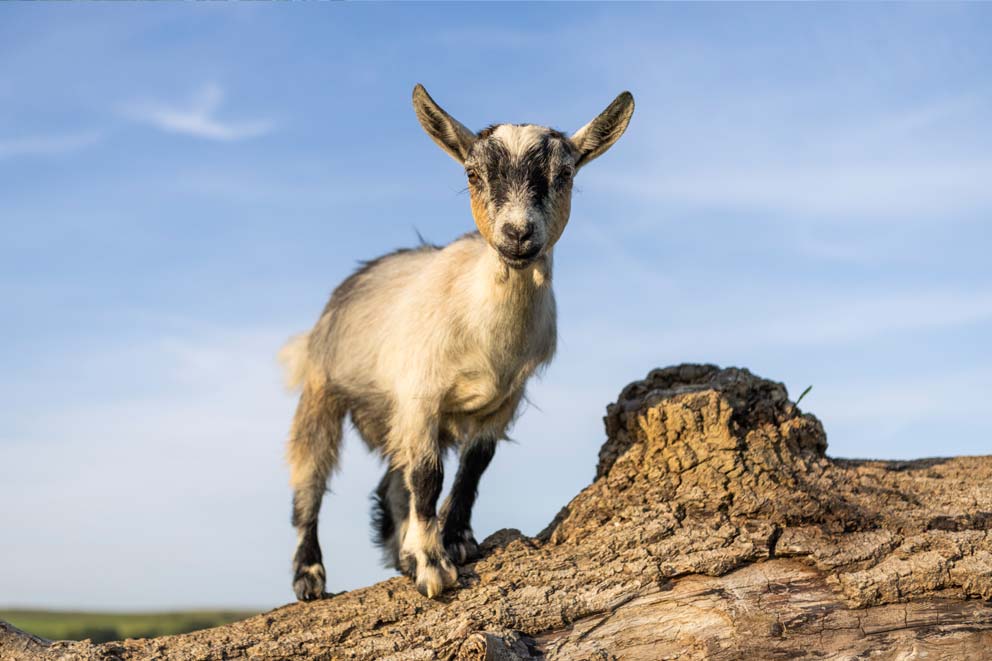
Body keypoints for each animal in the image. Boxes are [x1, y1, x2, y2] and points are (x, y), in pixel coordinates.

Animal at [282, 84, 634, 600]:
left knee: (392, 482)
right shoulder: (420, 395)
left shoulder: (503, 401)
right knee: (310, 477)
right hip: (322, 389)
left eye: (565, 174)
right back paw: (309, 576)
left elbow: (473, 468)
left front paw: (455, 540)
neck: (484, 332)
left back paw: (402, 553)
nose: (517, 233)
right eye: (472, 173)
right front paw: (433, 567)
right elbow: (428, 477)